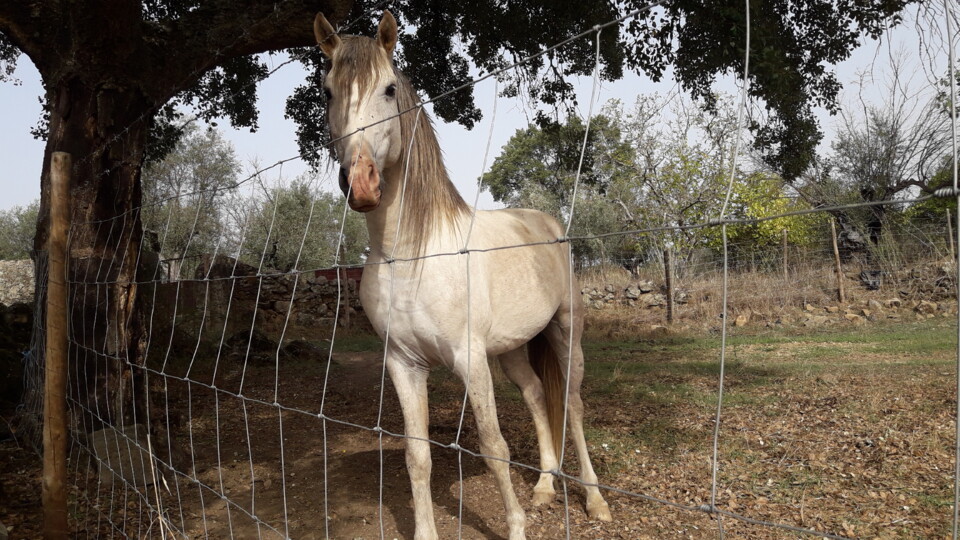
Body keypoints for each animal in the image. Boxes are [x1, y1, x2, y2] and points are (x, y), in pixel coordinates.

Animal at [313, 11, 612, 540]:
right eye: (329, 92)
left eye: (389, 89)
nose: (362, 183)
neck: (410, 256)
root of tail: (548, 225)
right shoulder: (404, 365)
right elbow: (417, 456)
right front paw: (427, 531)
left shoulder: (469, 360)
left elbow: (494, 447)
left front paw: (515, 527)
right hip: (512, 350)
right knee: (538, 397)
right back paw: (543, 487)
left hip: (566, 332)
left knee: (573, 406)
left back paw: (594, 500)